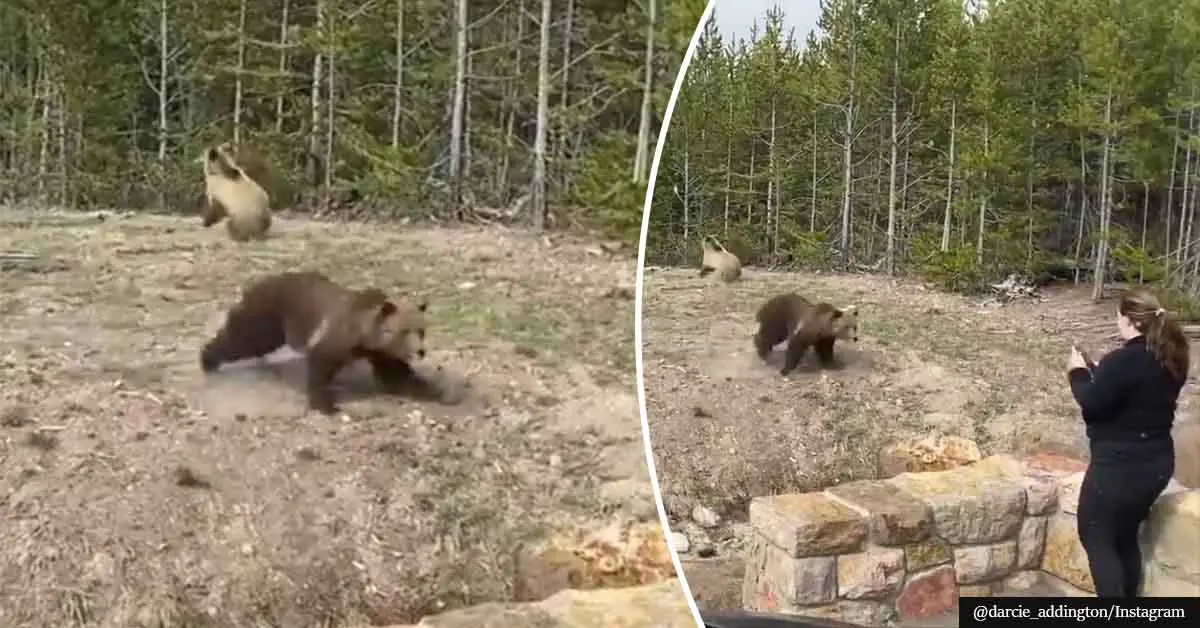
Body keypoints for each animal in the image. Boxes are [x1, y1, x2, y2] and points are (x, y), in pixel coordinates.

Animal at [201, 268, 432, 413]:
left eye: (422, 330)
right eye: (404, 331)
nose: (420, 351)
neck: (364, 334)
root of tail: (255, 283)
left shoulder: (380, 352)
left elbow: (395, 374)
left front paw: (422, 385)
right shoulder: (338, 337)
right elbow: (321, 365)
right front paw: (326, 404)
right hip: (269, 315)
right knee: (244, 341)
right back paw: (208, 360)